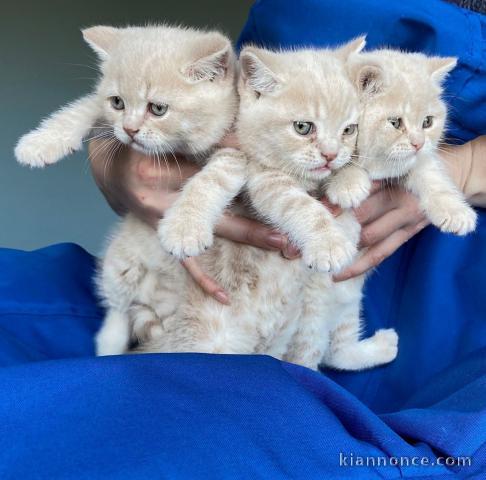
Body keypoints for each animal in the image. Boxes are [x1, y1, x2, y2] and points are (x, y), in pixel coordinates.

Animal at [127, 40, 396, 372]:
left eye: (349, 129)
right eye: (303, 127)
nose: (330, 155)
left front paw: (349, 181)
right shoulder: (262, 179)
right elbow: (300, 206)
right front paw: (330, 243)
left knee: (335, 348)